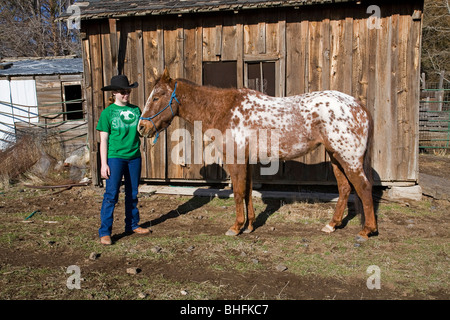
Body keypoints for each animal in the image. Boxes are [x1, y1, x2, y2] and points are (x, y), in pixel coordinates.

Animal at [139, 69, 378, 241]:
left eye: (157, 97)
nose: (142, 127)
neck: (224, 110)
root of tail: (359, 106)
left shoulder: (235, 160)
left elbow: (238, 192)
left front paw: (236, 227)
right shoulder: (247, 161)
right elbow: (247, 192)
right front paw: (249, 225)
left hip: (349, 158)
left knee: (363, 187)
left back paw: (367, 231)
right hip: (336, 156)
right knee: (345, 188)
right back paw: (331, 225)